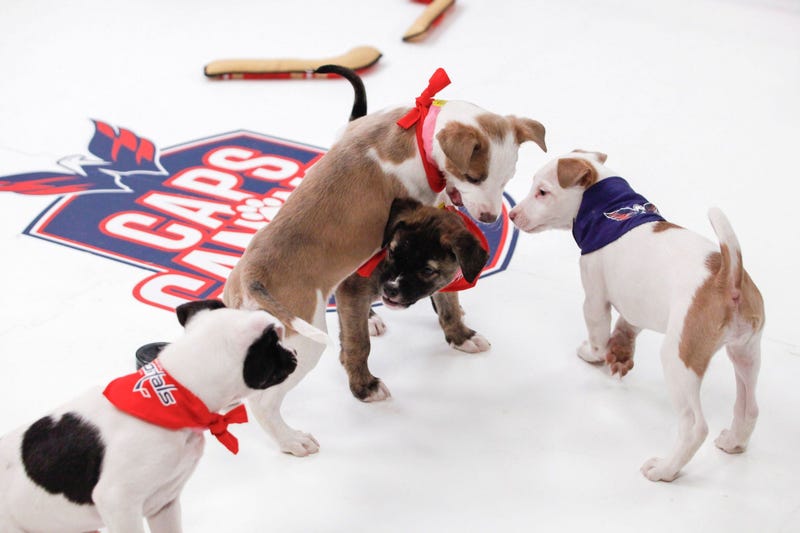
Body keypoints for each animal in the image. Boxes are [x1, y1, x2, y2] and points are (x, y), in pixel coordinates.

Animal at [332, 197, 488, 402]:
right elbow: (358, 343)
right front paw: (364, 385)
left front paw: (462, 336)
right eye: (391, 252)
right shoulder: (351, 289)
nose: (390, 289)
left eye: (428, 270)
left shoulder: (445, 282)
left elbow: (450, 309)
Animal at [510, 151, 764, 482]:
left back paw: (665, 469)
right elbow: (627, 325)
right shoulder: (635, 305)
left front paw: (593, 354)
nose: (512, 215)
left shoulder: (594, 296)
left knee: (694, 426)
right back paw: (734, 441)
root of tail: (728, 279)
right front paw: (620, 351)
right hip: (746, 353)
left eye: (542, 191)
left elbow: (596, 330)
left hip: (679, 361)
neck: (609, 210)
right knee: (750, 406)